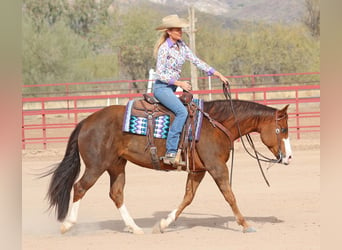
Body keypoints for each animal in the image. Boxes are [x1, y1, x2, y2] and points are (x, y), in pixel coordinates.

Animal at [44, 98, 292, 234]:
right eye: (282, 130)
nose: (289, 157)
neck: (216, 124)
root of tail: (86, 121)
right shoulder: (216, 167)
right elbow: (229, 195)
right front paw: (245, 224)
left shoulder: (198, 170)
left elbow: (188, 197)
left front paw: (163, 224)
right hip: (97, 165)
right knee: (80, 187)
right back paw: (67, 225)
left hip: (116, 165)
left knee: (116, 194)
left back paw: (135, 229)